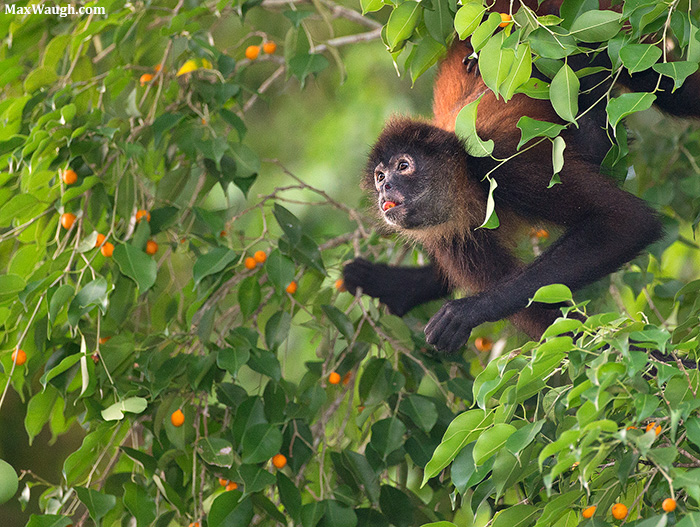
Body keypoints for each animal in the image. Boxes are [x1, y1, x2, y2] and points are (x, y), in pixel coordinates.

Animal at [343, 0, 700, 353]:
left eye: (403, 166)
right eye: (379, 176)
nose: (385, 188)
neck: (466, 185)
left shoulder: (503, 165)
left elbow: (627, 221)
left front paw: (469, 309)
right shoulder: (448, 235)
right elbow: (543, 318)